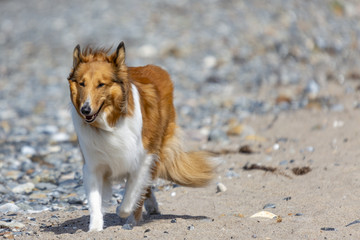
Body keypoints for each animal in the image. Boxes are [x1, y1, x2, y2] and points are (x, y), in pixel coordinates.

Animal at [67, 42, 218, 232]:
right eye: (82, 83)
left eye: (101, 84)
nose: (85, 110)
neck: (111, 123)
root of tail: (158, 69)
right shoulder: (93, 165)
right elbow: (95, 201)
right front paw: (94, 228)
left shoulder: (143, 158)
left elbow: (130, 198)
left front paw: (125, 212)